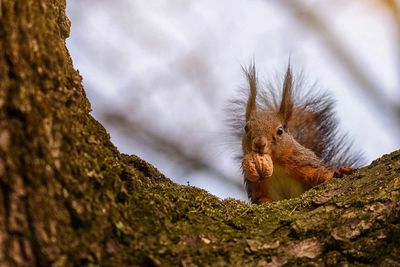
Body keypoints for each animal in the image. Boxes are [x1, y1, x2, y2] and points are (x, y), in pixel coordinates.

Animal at [227, 63, 364, 205]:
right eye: (246, 128)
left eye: (280, 131)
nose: (259, 144)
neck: (276, 163)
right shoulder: (255, 184)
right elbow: (260, 198)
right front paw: (263, 201)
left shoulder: (301, 161)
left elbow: (319, 175)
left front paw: (339, 172)